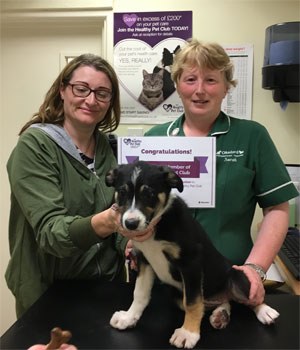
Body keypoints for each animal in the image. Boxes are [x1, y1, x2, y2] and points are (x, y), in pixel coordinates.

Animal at [105, 163, 278, 348]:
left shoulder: (191, 263)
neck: (157, 225)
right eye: (122, 192)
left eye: (149, 194)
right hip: (178, 296)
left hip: (237, 277)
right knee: (221, 302)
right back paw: (221, 314)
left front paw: (188, 333)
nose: (130, 224)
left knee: (249, 299)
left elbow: (193, 303)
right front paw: (129, 317)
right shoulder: (144, 260)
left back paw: (264, 311)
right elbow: (139, 293)